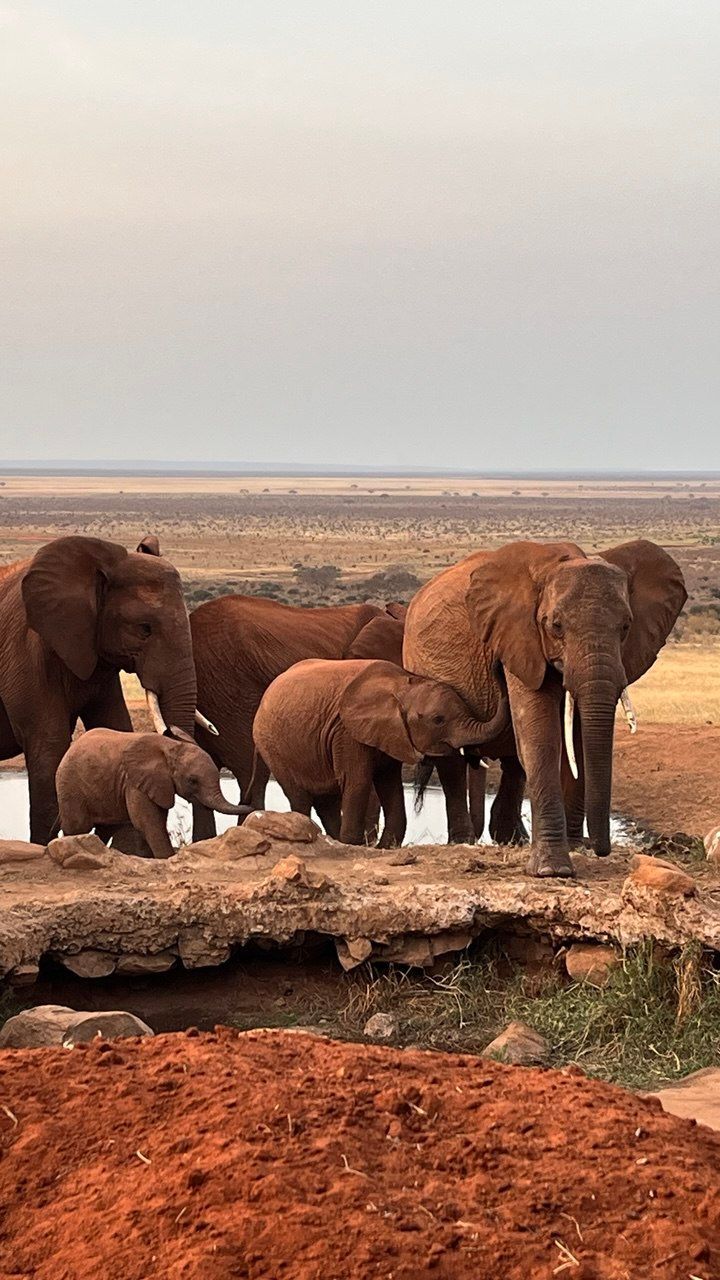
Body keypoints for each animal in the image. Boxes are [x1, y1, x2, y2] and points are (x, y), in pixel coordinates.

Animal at [56, 727, 248, 859]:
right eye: (192, 781)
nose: (249, 805)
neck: (172, 746)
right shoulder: (135, 782)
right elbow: (149, 823)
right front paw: (167, 858)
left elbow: (152, 821)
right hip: (70, 785)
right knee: (77, 826)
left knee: (106, 829)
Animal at [252, 657, 510, 846]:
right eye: (438, 720)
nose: (498, 665)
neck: (403, 685)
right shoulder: (347, 731)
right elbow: (358, 781)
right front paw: (353, 845)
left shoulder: (390, 734)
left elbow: (389, 784)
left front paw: (384, 847)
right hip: (272, 747)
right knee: (300, 797)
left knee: (327, 801)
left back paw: (333, 839)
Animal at [403, 539, 686, 877]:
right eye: (556, 626)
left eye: (626, 626)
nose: (600, 849)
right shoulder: (518, 637)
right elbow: (541, 735)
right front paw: (553, 870)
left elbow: (578, 739)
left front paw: (575, 847)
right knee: (452, 762)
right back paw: (463, 841)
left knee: (514, 765)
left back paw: (511, 838)